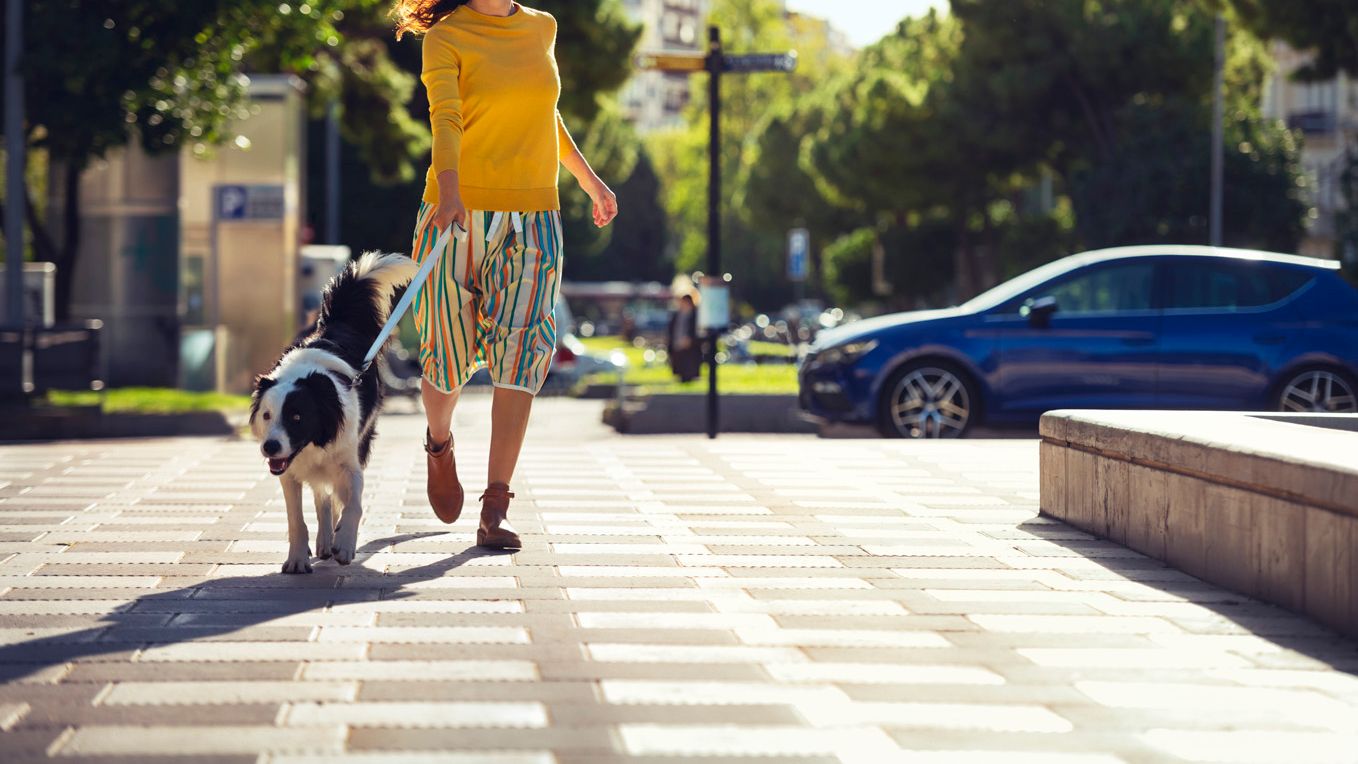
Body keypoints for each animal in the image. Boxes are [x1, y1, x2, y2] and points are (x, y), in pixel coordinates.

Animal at [249, 252, 415, 575]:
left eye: (297, 417)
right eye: (267, 415)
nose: (269, 447)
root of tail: (335, 322)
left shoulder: (350, 462)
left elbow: (354, 504)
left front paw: (346, 543)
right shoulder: (289, 474)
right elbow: (297, 518)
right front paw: (298, 558)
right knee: (321, 497)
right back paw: (325, 540)